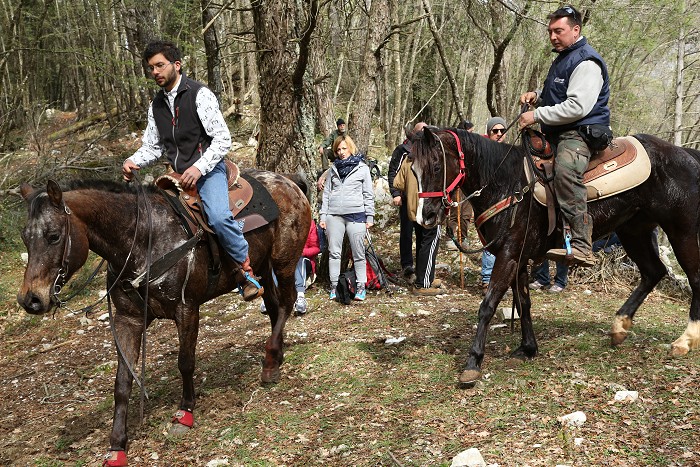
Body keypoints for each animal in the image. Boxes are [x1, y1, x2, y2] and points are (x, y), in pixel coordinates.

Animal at [17, 171, 311, 465]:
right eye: (25, 238)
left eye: (54, 236)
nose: (30, 300)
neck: (145, 241)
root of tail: (288, 181)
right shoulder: (128, 320)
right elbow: (123, 383)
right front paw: (117, 446)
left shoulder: (187, 309)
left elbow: (185, 363)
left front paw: (185, 413)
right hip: (263, 264)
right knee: (273, 306)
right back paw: (276, 354)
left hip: (284, 262)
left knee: (286, 304)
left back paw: (270, 364)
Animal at [410, 127, 700, 385]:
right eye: (413, 170)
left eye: (436, 167)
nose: (426, 217)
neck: (506, 184)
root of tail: (687, 155)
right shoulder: (519, 259)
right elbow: (523, 304)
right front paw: (528, 348)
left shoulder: (508, 256)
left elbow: (487, 306)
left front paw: (473, 363)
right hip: (634, 230)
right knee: (653, 272)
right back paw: (620, 326)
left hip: (682, 231)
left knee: (694, 278)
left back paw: (685, 340)